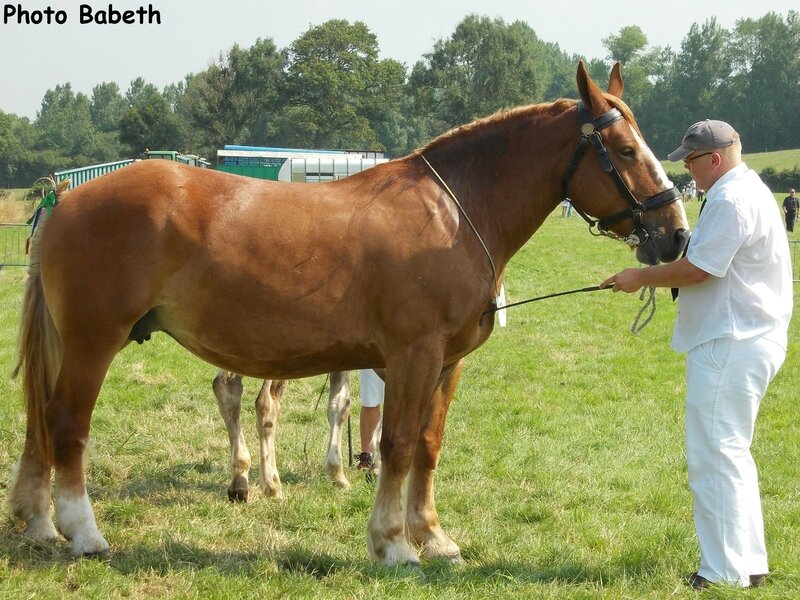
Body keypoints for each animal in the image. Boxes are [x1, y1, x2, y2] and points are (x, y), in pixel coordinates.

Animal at [9, 63, 688, 564]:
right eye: (625, 149)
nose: (676, 234)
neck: (454, 213)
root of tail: (67, 197)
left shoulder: (447, 364)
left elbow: (429, 446)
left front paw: (432, 536)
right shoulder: (413, 355)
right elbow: (397, 443)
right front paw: (393, 544)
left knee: (40, 422)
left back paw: (39, 523)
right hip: (94, 341)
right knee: (66, 424)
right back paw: (84, 533)